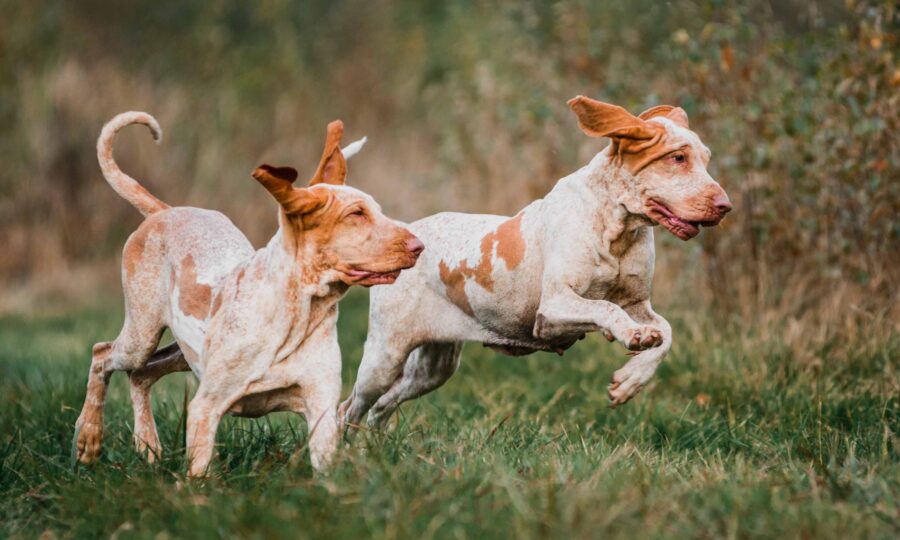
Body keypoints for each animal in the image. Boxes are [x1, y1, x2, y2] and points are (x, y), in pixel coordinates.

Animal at [73, 112, 422, 474]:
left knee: (141, 374)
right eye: (356, 214)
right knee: (103, 354)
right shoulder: (205, 409)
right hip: (141, 336)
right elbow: (199, 473)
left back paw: (147, 444)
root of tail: (164, 211)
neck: (298, 312)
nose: (419, 246)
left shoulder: (322, 412)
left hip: (184, 353)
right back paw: (89, 438)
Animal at [340, 95, 732, 428]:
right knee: (349, 409)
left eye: (706, 158)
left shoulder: (638, 303)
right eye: (677, 158)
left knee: (379, 410)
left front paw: (630, 381)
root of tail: (408, 236)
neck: (618, 228)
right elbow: (604, 307)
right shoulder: (554, 307)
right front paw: (629, 335)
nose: (726, 206)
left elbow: (666, 331)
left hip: (433, 368)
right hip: (385, 357)